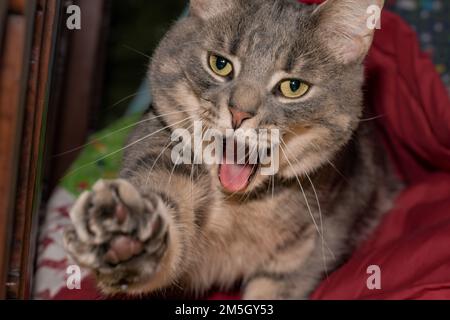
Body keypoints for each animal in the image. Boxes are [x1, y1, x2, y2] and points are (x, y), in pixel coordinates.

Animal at [64, 0, 398, 300]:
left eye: (293, 87)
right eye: (220, 64)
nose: (239, 114)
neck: (238, 209)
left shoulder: (301, 256)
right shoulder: (160, 156)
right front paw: (123, 236)